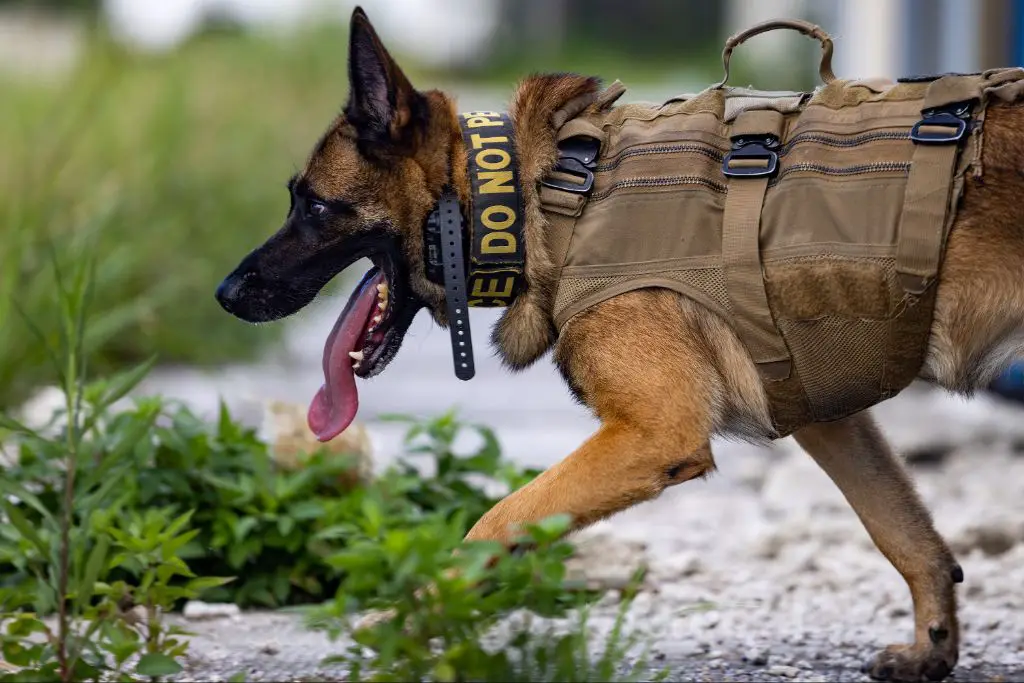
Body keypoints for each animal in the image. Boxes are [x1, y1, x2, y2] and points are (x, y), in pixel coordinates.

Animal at [211, 6, 1024, 683]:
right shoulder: (827, 418)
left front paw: (412, 618)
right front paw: (933, 646)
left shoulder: (652, 433)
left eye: (314, 207)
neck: (543, 195)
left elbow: (497, 518)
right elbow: (904, 531)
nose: (223, 293)